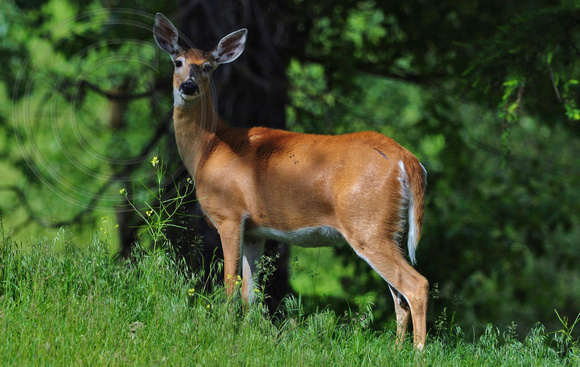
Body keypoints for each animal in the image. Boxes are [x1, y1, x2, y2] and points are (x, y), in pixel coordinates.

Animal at [154, 12, 430, 350]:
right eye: (178, 62)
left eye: (207, 66)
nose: (189, 86)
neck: (208, 149)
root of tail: (408, 160)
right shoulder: (254, 230)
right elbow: (250, 293)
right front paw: (247, 335)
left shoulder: (229, 214)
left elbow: (230, 285)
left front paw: (225, 332)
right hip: (390, 230)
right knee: (399, 296)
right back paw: (396, 350)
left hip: (368, 224)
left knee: (416, 285)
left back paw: (418, 352)